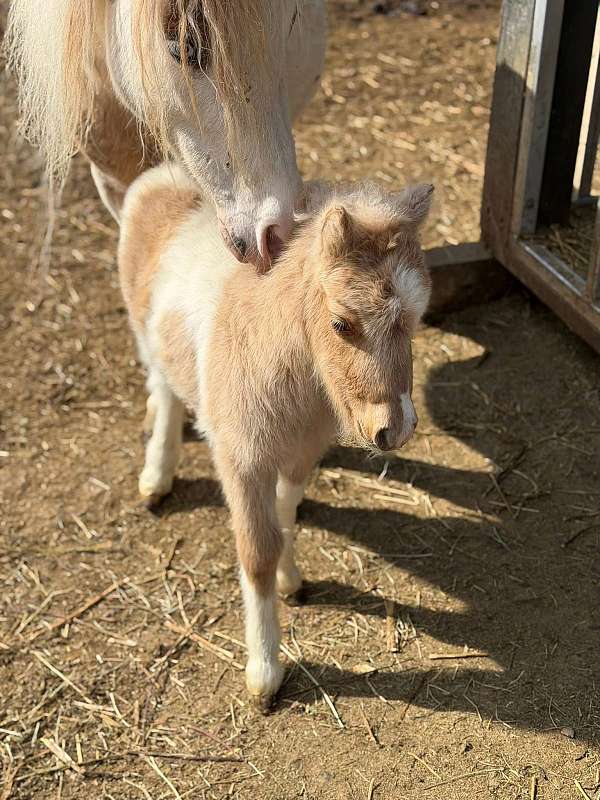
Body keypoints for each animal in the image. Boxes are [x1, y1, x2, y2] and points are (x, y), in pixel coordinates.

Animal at [117, 162, 434, 709]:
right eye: (341, 323)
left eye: (415, 320)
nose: (394, 429)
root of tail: (162, 173)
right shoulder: (243, 461)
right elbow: (256, 552)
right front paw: (264, 673)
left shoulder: (301, 452)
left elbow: (285, 516)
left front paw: (292, 582)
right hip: (144, 334)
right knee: (164, 388)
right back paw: (156, 475)